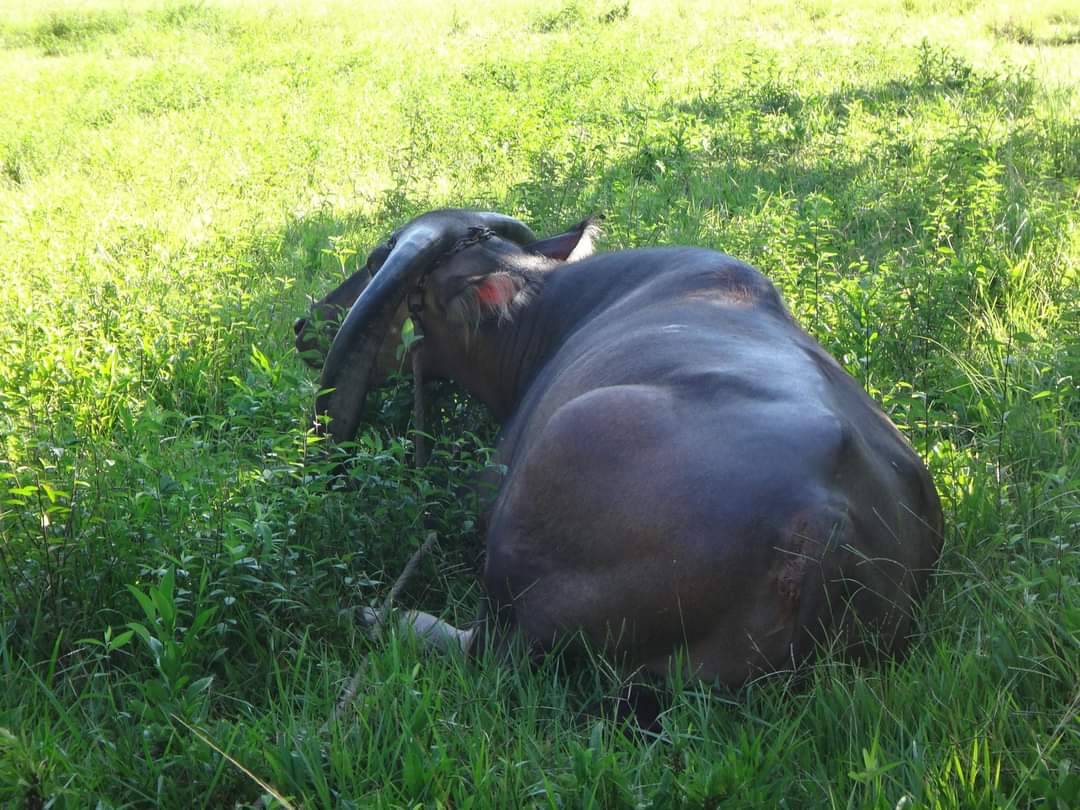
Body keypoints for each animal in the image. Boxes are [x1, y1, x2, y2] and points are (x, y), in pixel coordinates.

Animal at [293, 207, 937, 686]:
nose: (305, 325)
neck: (545, 313)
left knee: (492, 650)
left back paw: (383, 615)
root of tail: (822, 523)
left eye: (376, 264)